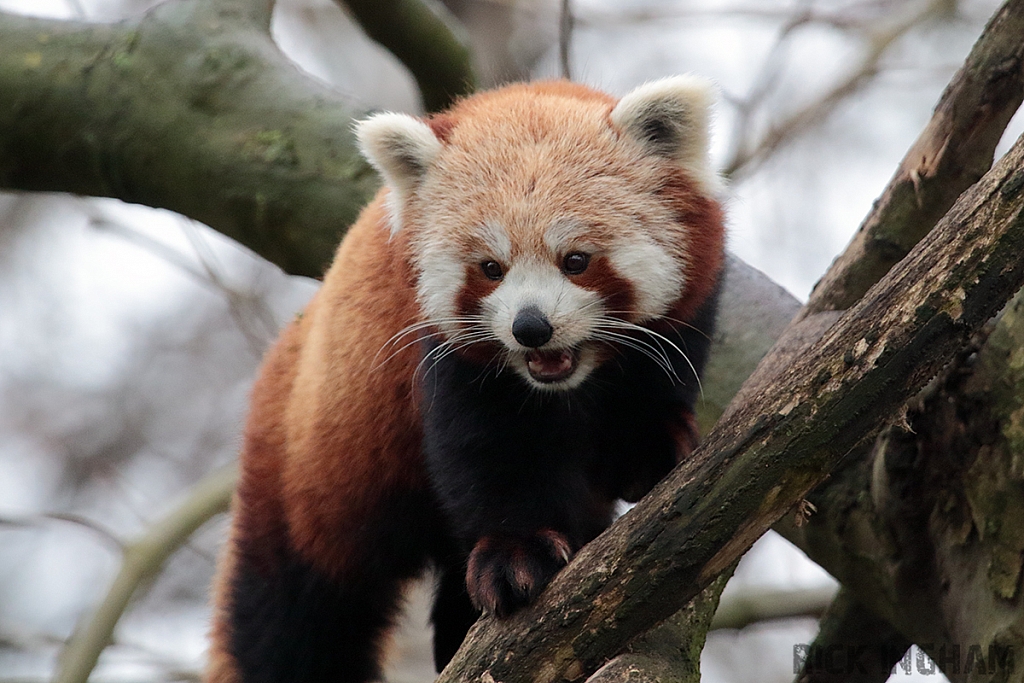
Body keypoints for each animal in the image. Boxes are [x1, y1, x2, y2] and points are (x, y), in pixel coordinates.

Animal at [203, 77, 724, 683]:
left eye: (575, 260)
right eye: (490, 268)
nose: (530, 328)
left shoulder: (685, 312)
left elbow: (656, 381)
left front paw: (651, 444)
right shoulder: (446, 355)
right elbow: (491, 455)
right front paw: (516, 555)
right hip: (309, 473)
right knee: (293, 617)